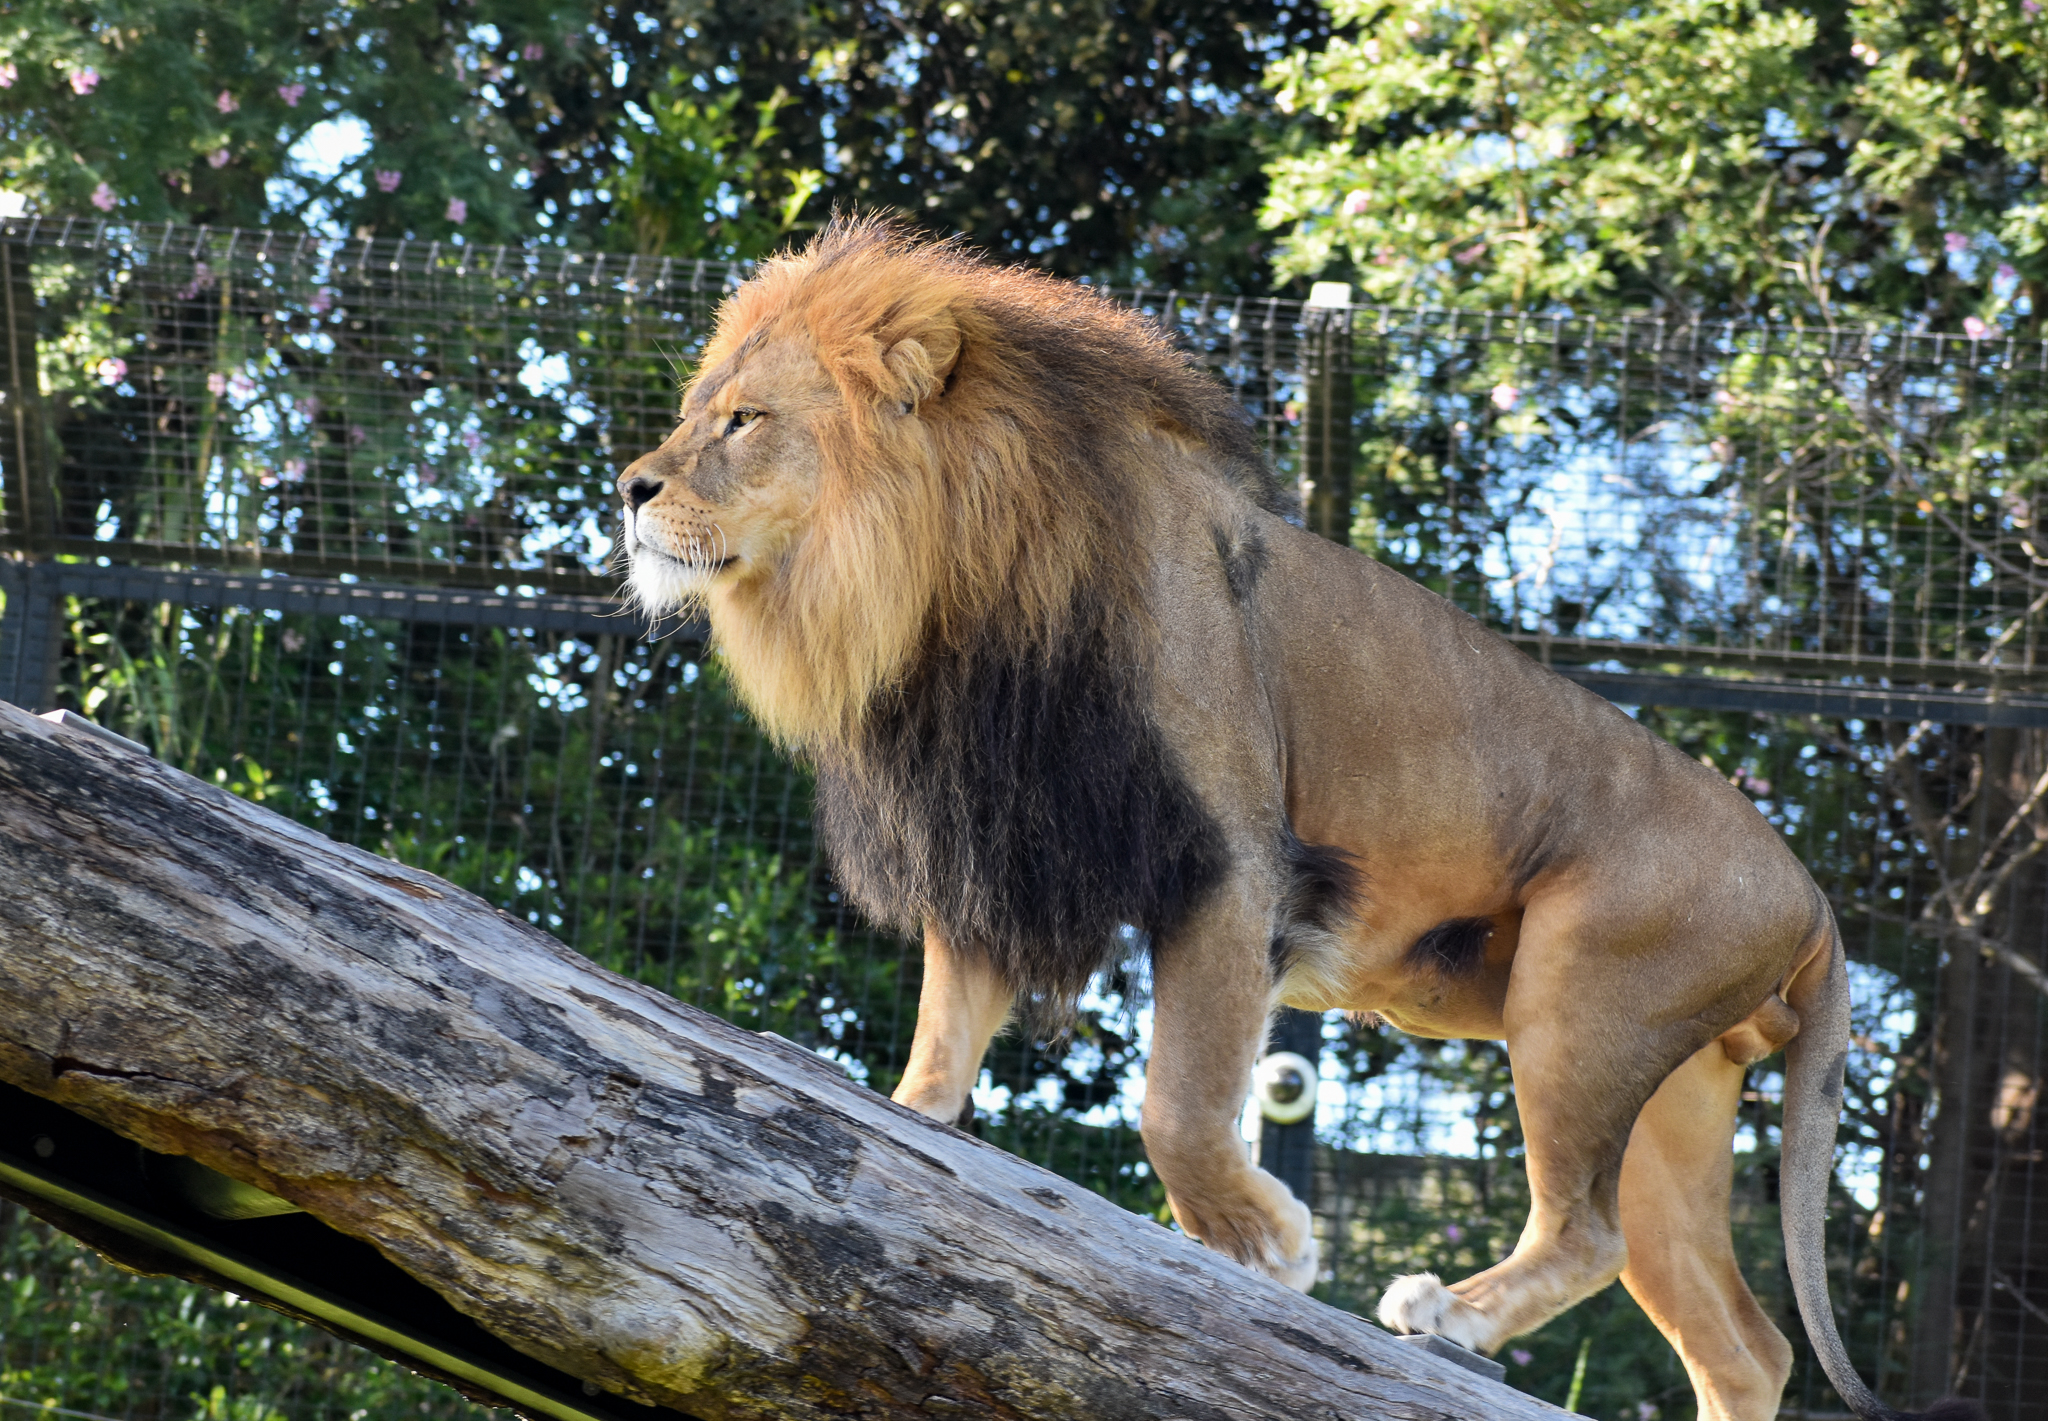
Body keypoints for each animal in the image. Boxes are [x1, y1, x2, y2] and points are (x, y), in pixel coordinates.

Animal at [615, 218, 1975, 1421]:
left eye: (742, 420)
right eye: (698, 405)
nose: (628, 485)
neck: (934, 607)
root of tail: (1812, 899)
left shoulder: (1227, 861)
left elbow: (1176, 1099)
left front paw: (1255, 1242)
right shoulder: (1000, 845)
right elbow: (943, 1041)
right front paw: (900, 1127)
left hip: (1580, 996)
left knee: (1583, 1230)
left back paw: (1448, 1312)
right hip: (1673, 1104)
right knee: (1742, 1341)